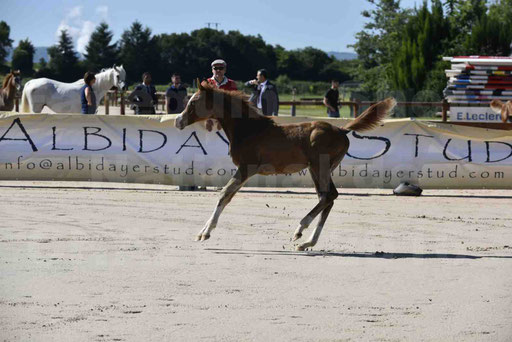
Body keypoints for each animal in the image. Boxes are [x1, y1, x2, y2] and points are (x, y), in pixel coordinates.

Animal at [176, 81, 396, 250]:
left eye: (194, 101)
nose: (178, 121)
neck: (248, 129)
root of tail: (342, 130)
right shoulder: (245, 170)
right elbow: (228, 196)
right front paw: (202, 231)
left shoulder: (246, 168)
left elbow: (224, 194)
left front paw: (205, 233)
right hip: (319, 169)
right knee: (327, 197)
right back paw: (307, 243)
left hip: (320, 167)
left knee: (329, 196)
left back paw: (300, 230)